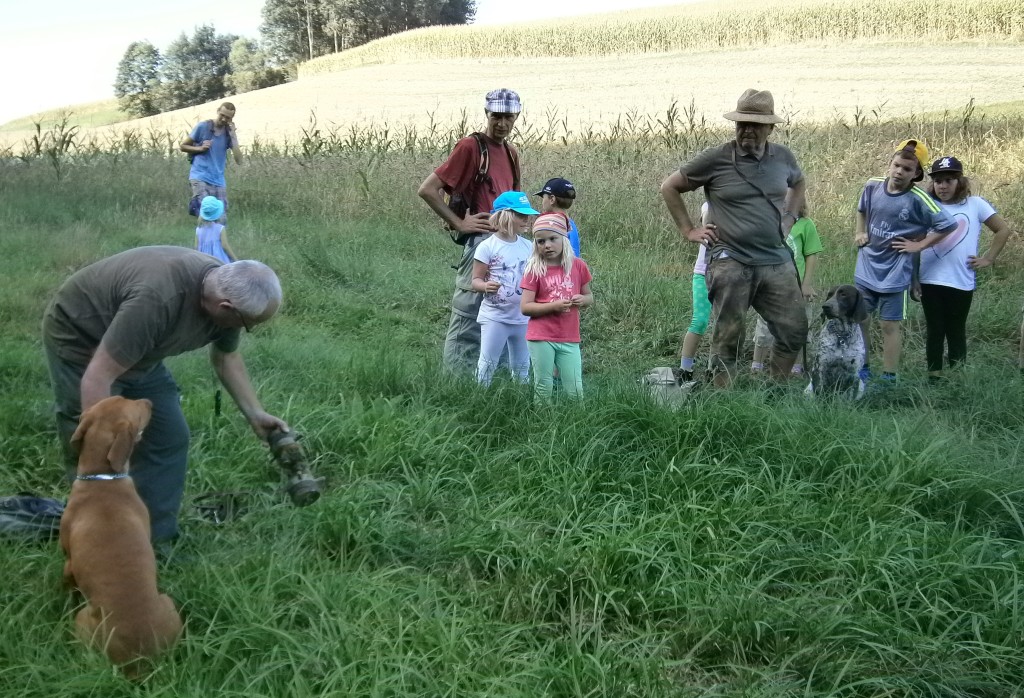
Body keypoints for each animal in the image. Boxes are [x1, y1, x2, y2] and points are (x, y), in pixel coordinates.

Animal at [59, 397, 182, 675]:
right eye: (136, 408)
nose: (149, 401)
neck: (102, 478)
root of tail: (141, 662)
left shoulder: (68, 561)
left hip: (83, 618)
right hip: (169, 603)